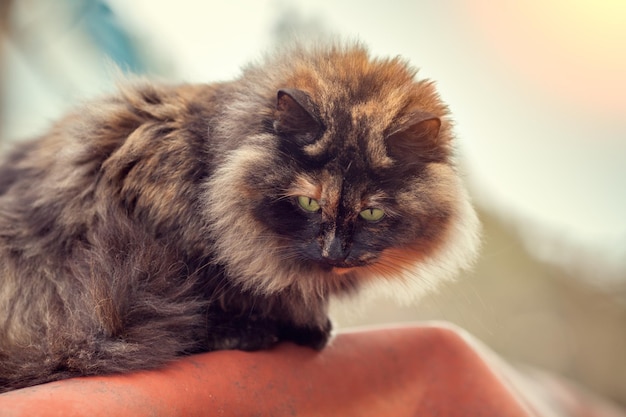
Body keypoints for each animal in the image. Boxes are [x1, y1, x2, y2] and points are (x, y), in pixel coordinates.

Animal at [0, 41, 478, 390]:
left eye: (372, 212)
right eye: (308, 203)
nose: (335, 251)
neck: (209, 170)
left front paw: (309, 324)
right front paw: (264, 329)